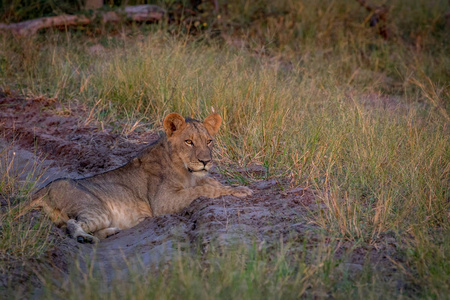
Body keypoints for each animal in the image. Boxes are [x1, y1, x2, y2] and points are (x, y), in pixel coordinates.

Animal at [18, 113, 253, 244]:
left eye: (209, 141)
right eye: (189, 141)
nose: (206, 161)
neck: (186, 171)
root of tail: (44, 189)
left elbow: (211, 183)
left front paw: (235, 186)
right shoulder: (162, 202)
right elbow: (204, 190)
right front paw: (241, 191)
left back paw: (111, 232)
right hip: (95, 208)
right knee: (71, 224)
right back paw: (85, 238)